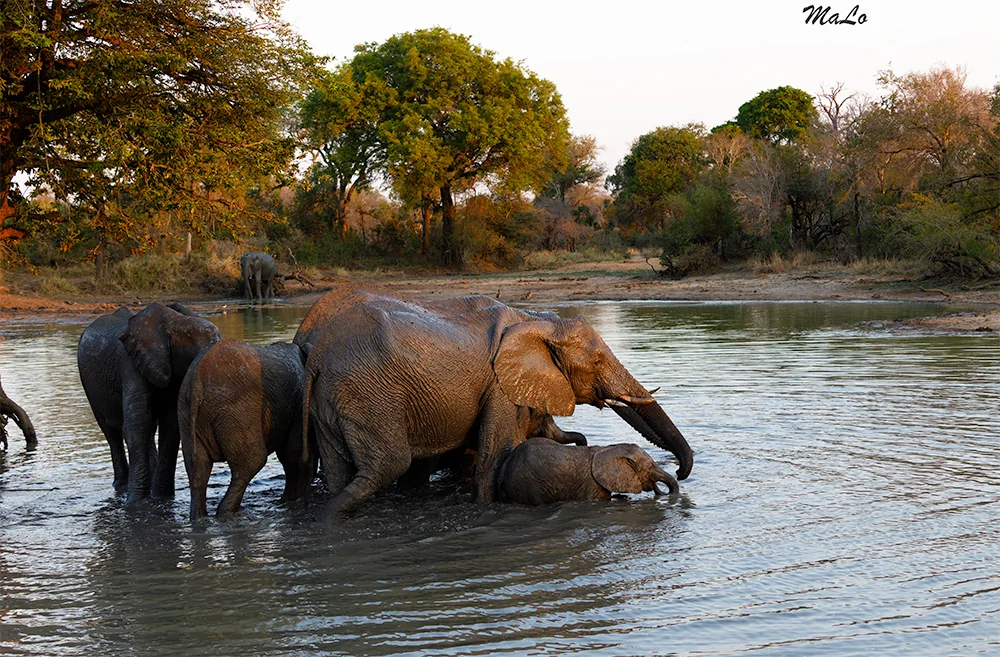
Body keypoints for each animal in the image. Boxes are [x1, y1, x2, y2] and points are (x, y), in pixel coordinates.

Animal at [77, 302, 220, 504]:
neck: (176, 322)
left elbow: (170, 428)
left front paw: (162, 498)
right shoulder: (131, 365)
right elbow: (136, 427)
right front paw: (136, 503)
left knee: (149, 431)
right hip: (90, 387)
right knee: (111, 433)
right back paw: (121, 485)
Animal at [179, 339, 316, 520]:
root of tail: (197, 382)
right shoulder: (298, 405)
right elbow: (293, 454)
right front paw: (291, 500)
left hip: (187, 415)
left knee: (198, 471)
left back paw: (200, 517)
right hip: (238, 412)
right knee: (252, 463)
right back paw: (228, 513)